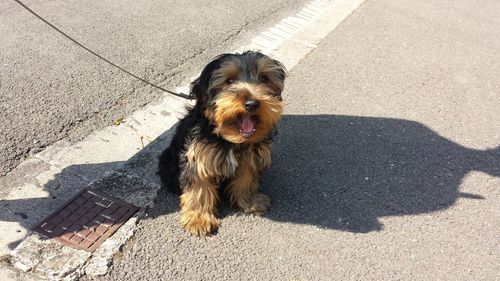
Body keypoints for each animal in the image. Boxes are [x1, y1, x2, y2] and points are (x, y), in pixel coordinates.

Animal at [159, 51, 286, 235]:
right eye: (230, 81)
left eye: (264, 78)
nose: (252, 103)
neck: (230, 140)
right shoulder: (198, 155)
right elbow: (199, 186)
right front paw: (199, 218)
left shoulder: (249, 157)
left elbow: (246, 177)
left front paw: (249, 200)